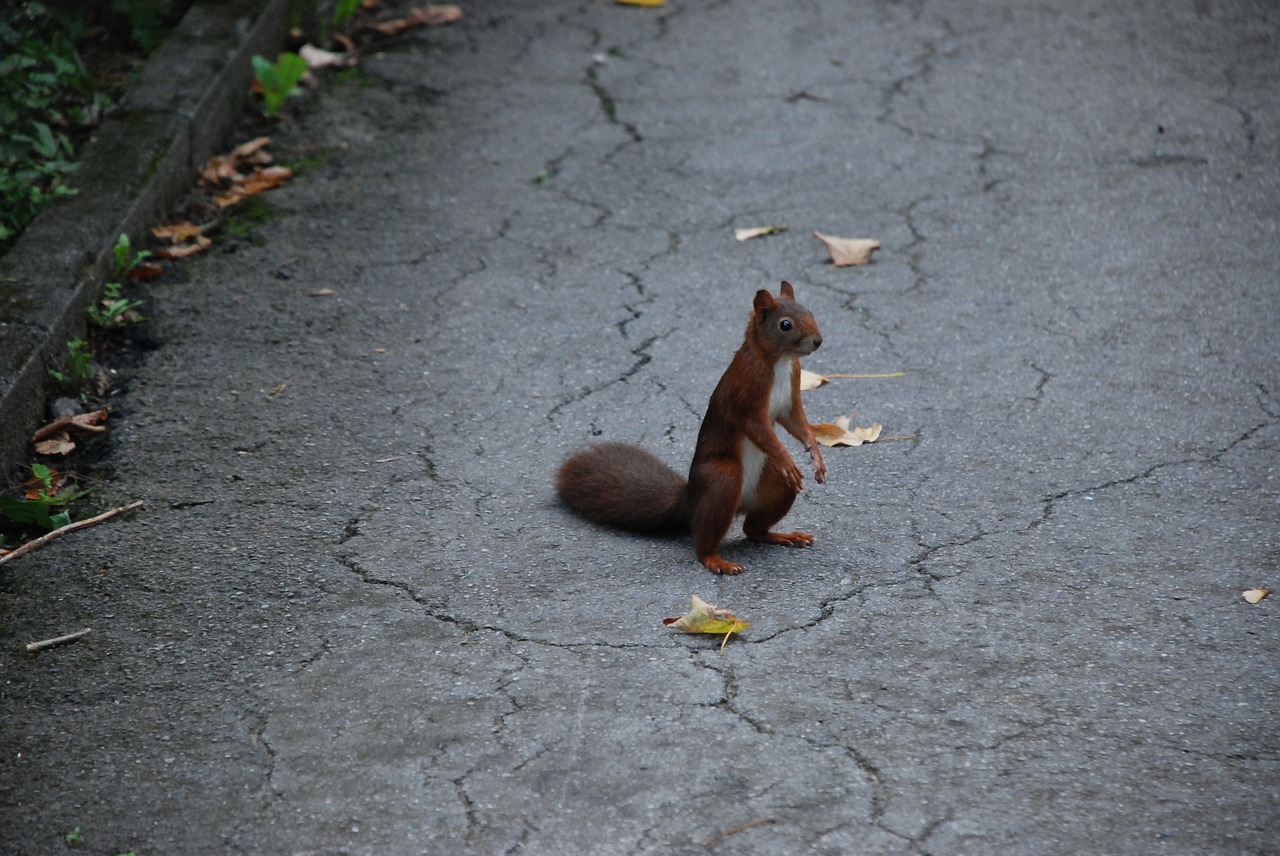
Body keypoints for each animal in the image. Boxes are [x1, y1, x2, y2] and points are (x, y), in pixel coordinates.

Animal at [555, 280, 824, 573]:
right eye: (785, 325)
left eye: (810, 311)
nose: (818, 341)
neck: (778, 360)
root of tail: (691, 499)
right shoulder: (747, 393)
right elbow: (760, 430)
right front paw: (787, 459)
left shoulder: (791, 392)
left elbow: (798, 423)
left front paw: (816, 456)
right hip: (722, 480)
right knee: (705, 541)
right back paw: (717, 560)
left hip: (774, 484)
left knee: (753, 529)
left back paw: (783, 536)